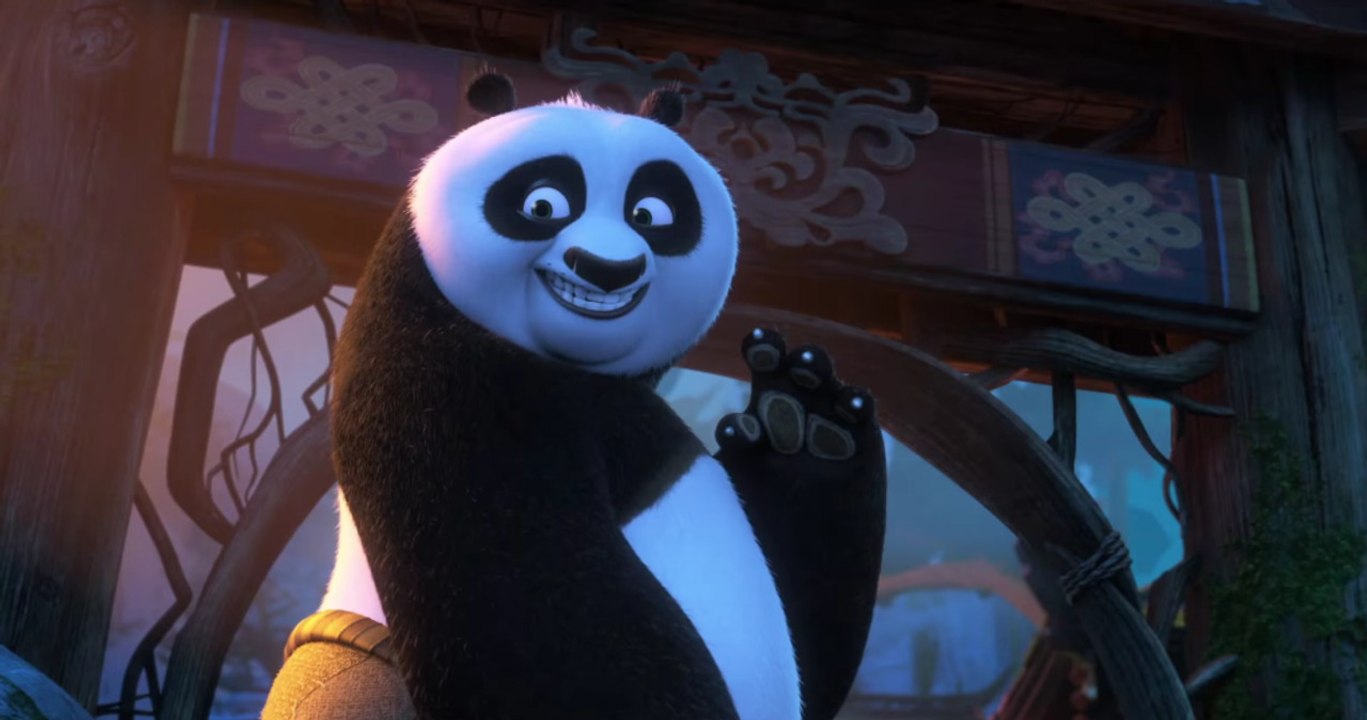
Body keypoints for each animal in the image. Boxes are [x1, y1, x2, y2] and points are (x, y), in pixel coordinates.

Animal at [310, 72, 888, 720]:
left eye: (651, 212)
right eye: (543, 204)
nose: (608, 269)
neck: (582, 372)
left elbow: (809, 621)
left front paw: (807, 424)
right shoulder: (443, 389)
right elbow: (535, 602)